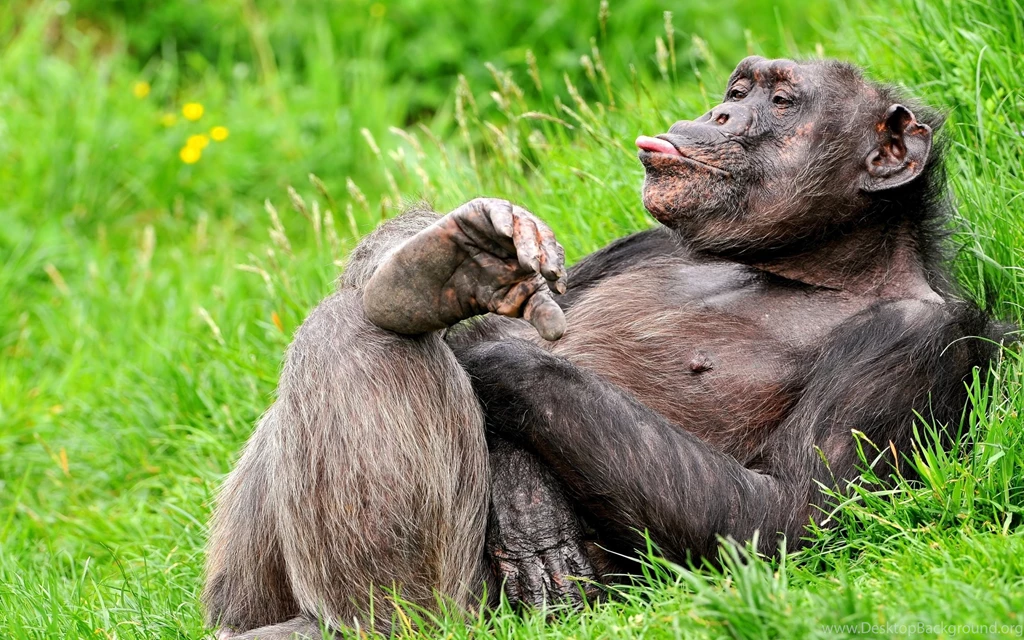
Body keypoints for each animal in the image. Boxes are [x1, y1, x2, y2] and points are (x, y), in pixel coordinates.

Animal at [202, 57, 1007, 639]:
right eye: (738, 89)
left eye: (781, 103)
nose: (719, 112)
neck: (800, 266)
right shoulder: (640, 241)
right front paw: (468, 261)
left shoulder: (914, 343)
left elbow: (786, 517)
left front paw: (499, 371)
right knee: (355, 316)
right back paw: (431, 277)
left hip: (471, 610)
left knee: (363, 337)